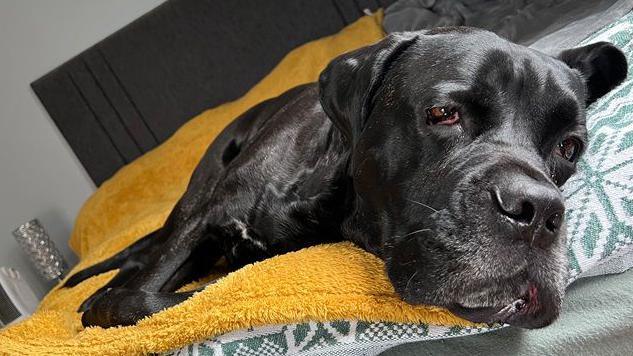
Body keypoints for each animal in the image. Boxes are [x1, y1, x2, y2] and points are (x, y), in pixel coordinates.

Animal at [66, 27, 624, 328]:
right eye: (444, 113)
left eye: (569, 147)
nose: (539, 210)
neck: (324, 196)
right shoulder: (206, 218)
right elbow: (147, 296)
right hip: (196, 193)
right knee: (145, 254)